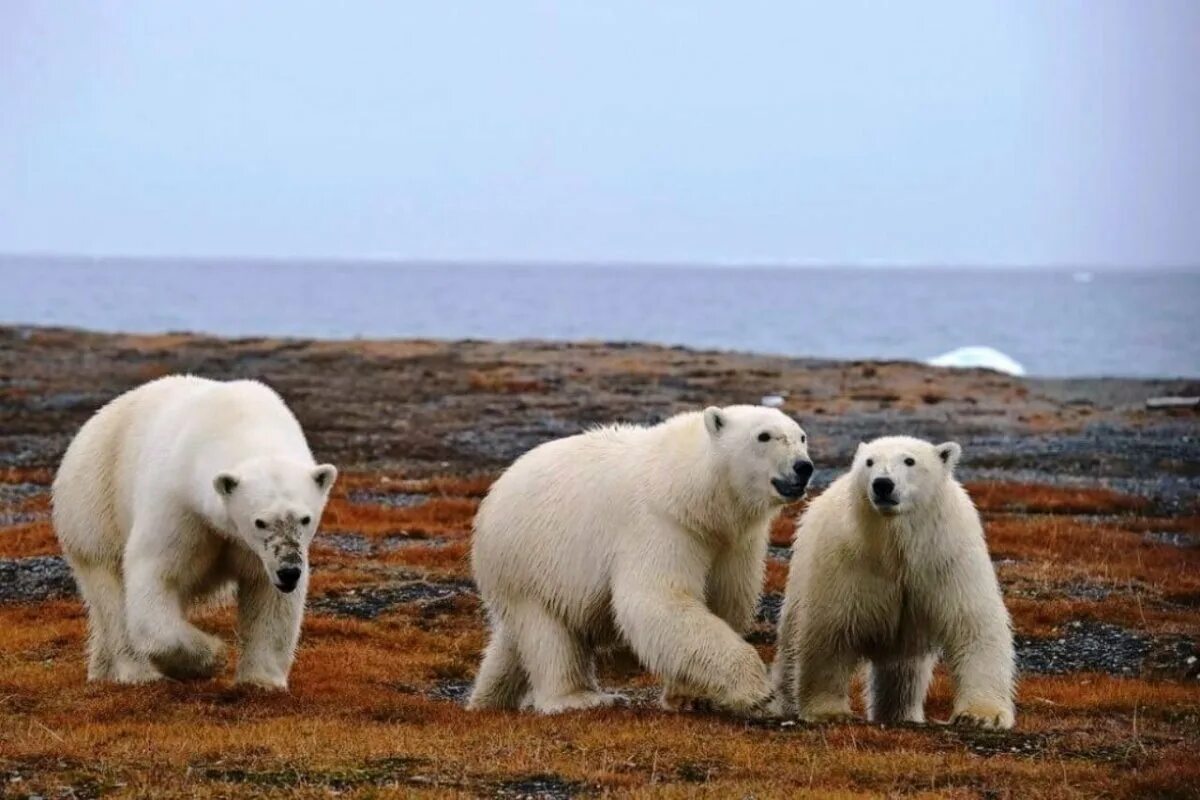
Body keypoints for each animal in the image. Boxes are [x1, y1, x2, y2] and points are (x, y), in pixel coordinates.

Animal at [53, 376, 336, 690]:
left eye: (305, 518)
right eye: (260, 522)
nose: (289, 572)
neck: (238, 420)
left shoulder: (256, 551)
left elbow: (267, 593)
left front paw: (262, 681)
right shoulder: (179, 504)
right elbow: (156, 575)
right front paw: (213, 657)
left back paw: (100, 670)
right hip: (95, 504)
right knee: (110, 588)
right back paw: (136, 672)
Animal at [468, 407, 816, 714]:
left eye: (801, 436)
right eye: (764, 436)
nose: (804, 467)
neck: (694, 491)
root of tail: (495, 492)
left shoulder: (732, 542)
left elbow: (724, 600)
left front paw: (688, 695)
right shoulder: (661, 524)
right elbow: (658, 599)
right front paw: (757, 690)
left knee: (513, 641)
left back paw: (486, 700)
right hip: (531, 561)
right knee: (548, 632)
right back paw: (580, 698)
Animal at [772, 434, 1017, 729]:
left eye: (909, 460)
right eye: (869, 462)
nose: (883, 484)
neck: (897, 542)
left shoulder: (946, 559)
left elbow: (973, 624)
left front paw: (981, 716)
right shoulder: (849, 562)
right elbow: (830, 629)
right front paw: (828, 711)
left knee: (904, 671)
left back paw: (902, 713)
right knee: (790, 640)